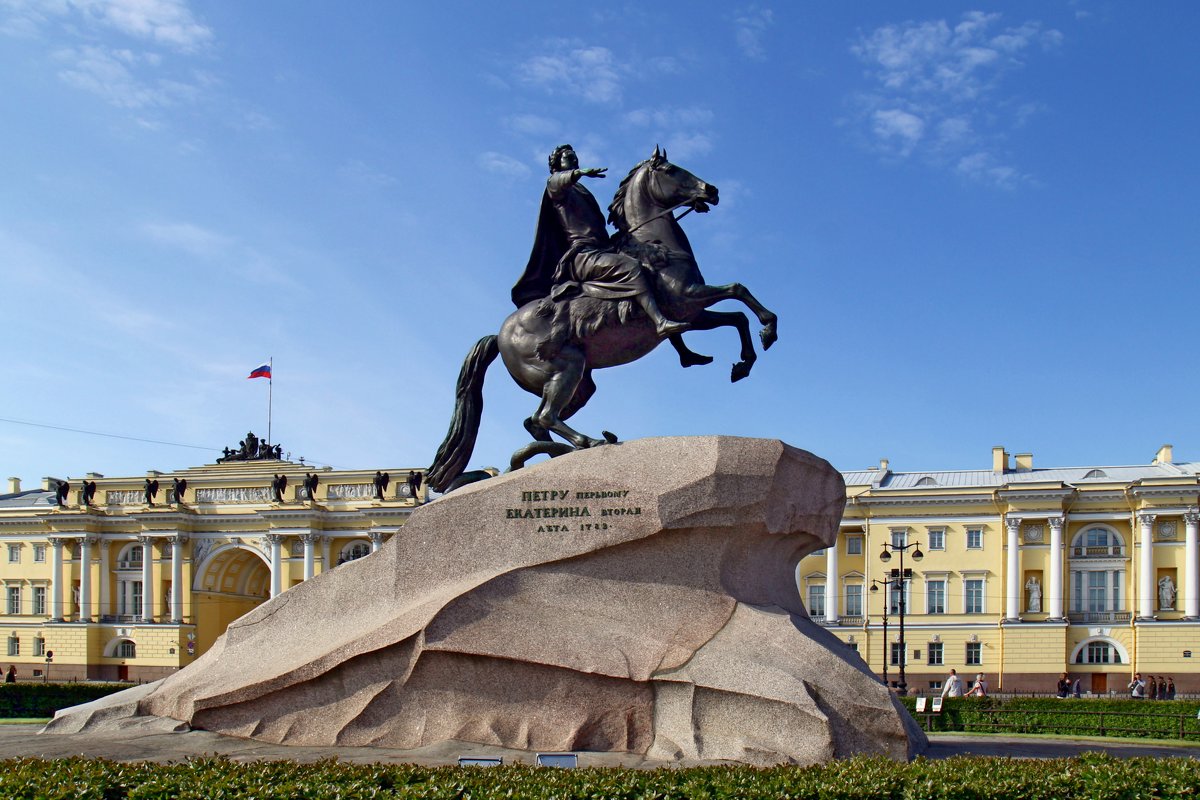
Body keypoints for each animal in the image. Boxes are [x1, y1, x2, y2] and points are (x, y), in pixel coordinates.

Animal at [429, 146, 777, 491]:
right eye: (670, 170)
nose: (711, 190)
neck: (654, 245)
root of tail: (500, 334)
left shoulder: (694, 312)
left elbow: (737, 317)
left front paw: (743, 362)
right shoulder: (689, 297)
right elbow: (738, 290)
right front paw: (768, 330)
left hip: (579, 384)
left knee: (535, 420)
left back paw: (561, 451)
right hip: (566, 369)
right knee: (545, 416)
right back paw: (589, 442)